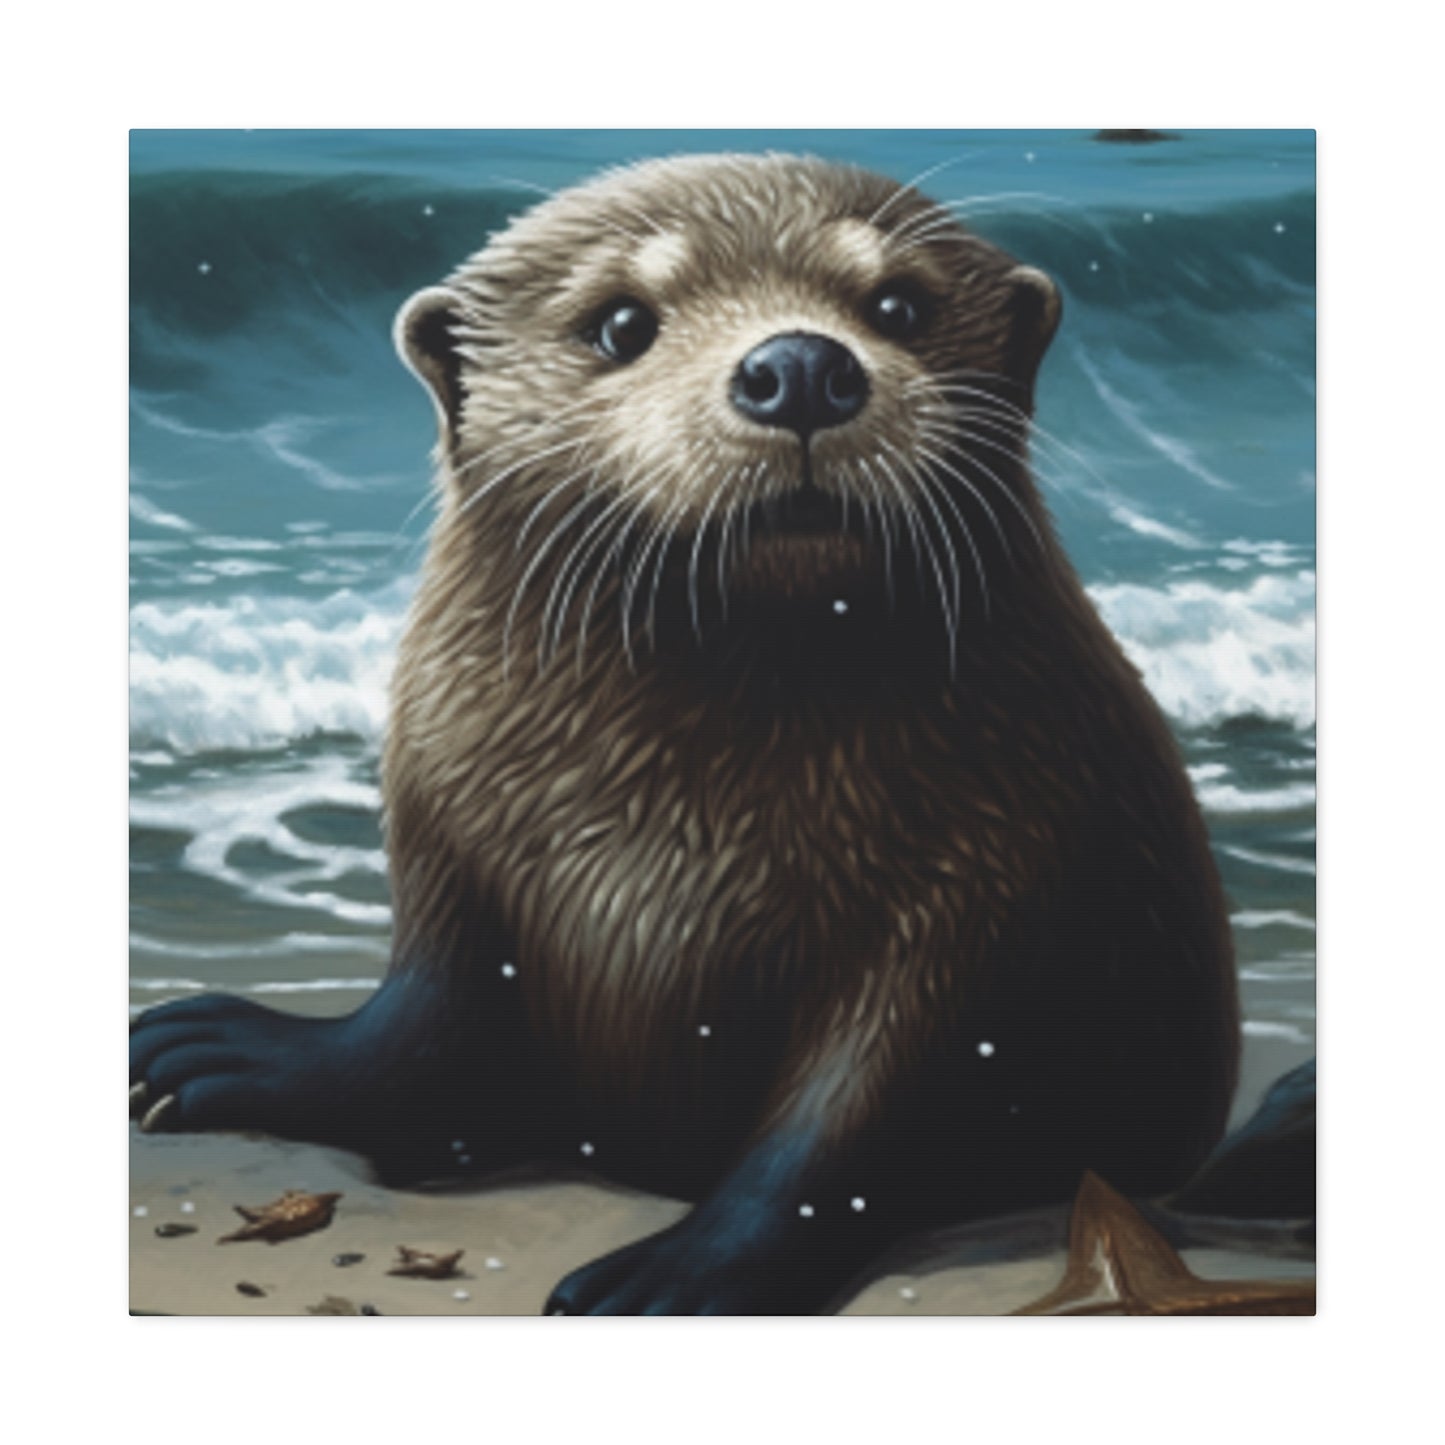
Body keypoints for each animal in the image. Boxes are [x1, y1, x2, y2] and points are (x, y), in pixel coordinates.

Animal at [130, 154, 1239, 1315]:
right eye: (622, 323)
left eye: (897, 304)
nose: (800, 365)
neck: (678, 838)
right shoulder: (454, 856)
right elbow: (418, 1031)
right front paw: (225, 1053)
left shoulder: (982, 890)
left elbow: (848, 1125)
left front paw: (675, 1273)